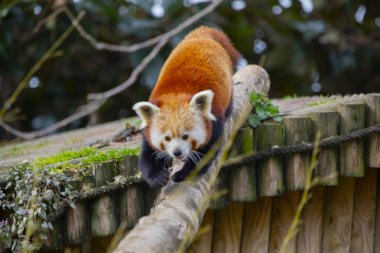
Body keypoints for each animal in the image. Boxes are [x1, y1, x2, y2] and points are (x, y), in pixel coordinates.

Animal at [134, 26, 243, 188]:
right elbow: (146, 154)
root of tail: (202, 34)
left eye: (186, 136)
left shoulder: (214, 120)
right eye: (167, 138)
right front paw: (156, 176)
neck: (176, 96)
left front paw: (184, 173)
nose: (177, 152)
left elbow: (207, 151)